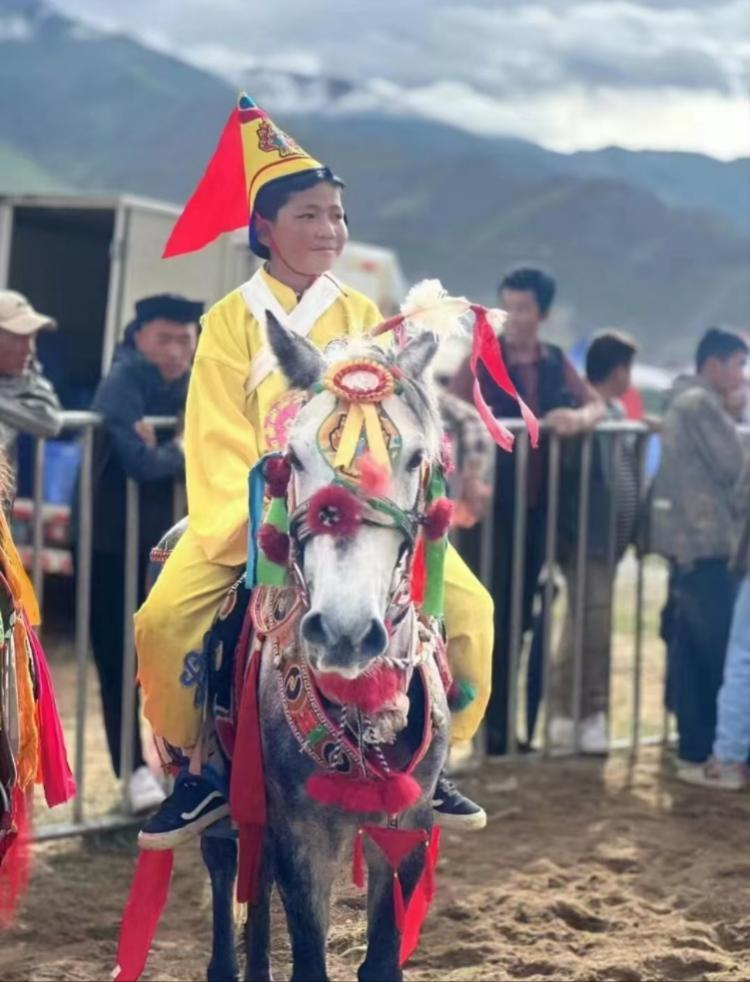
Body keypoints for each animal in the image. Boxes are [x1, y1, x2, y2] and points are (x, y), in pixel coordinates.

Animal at [198, 313, 451, 982]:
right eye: (293, 457)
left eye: (416, 459)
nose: (343, 631)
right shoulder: (302, 833)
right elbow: (309, 958)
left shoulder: (407, 824)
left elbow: (383, 957)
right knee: (224, 863)